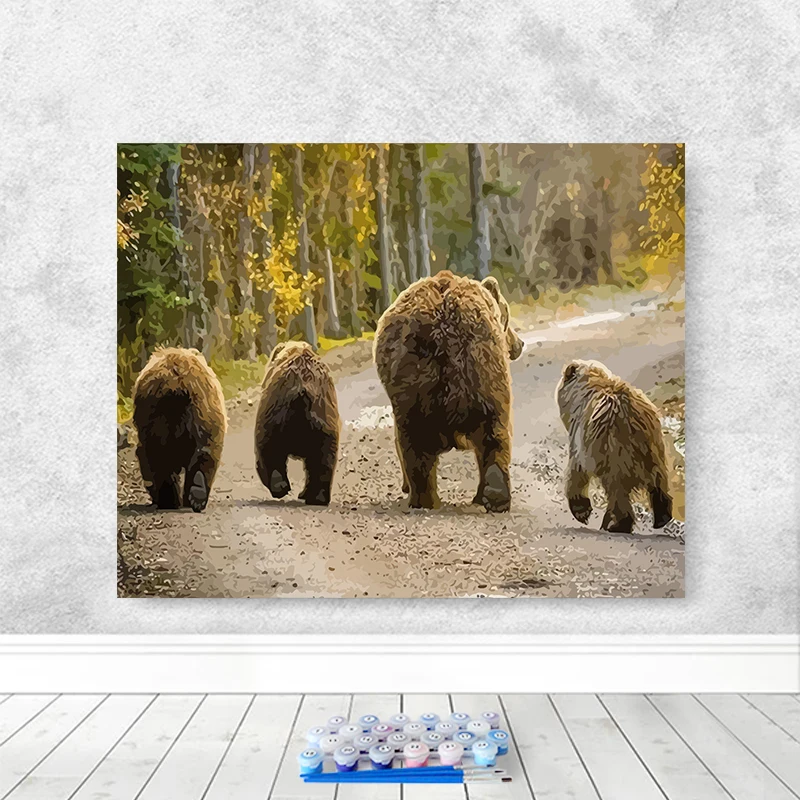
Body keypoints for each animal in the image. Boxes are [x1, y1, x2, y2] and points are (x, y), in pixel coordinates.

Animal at [132, 347, 227, 512]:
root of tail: (177, 384)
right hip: (201, 410)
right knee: (205, 450)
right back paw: (196, 493)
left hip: (165, 413)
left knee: (159, 457)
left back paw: (171, 499)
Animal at [254, 341, 340, 506]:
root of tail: (302, 391)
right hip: (324, 417)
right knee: (323, 459)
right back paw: (317, 497)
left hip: (275, 410)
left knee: (268, 448)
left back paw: (279, 486)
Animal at [374, 270, 524, 512]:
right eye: (507, 317)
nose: (519, 343)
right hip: (484, 368)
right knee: (495, 433)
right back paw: (493, 496)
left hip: (419, 381)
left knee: (416, 443)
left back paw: (424, 499)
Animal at [556, 359, 673, 533]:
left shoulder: (581, 436)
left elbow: (576, 469)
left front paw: (581, 510)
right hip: (653, 447)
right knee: (658, 480)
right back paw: (661, 517)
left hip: (613, 449)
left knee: (617, 490)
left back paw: (615, 524)